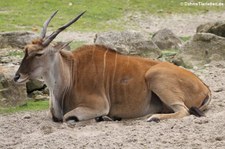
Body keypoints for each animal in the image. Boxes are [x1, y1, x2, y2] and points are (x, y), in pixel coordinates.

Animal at [14, 10, 211, 123]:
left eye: (39, 54)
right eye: (25, 50)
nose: (16, 77)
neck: (71, 74)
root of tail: (204, 86)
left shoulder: (98, 106)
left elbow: (67, 117)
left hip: (156, 76)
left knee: (183, 111)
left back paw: (154, 117)